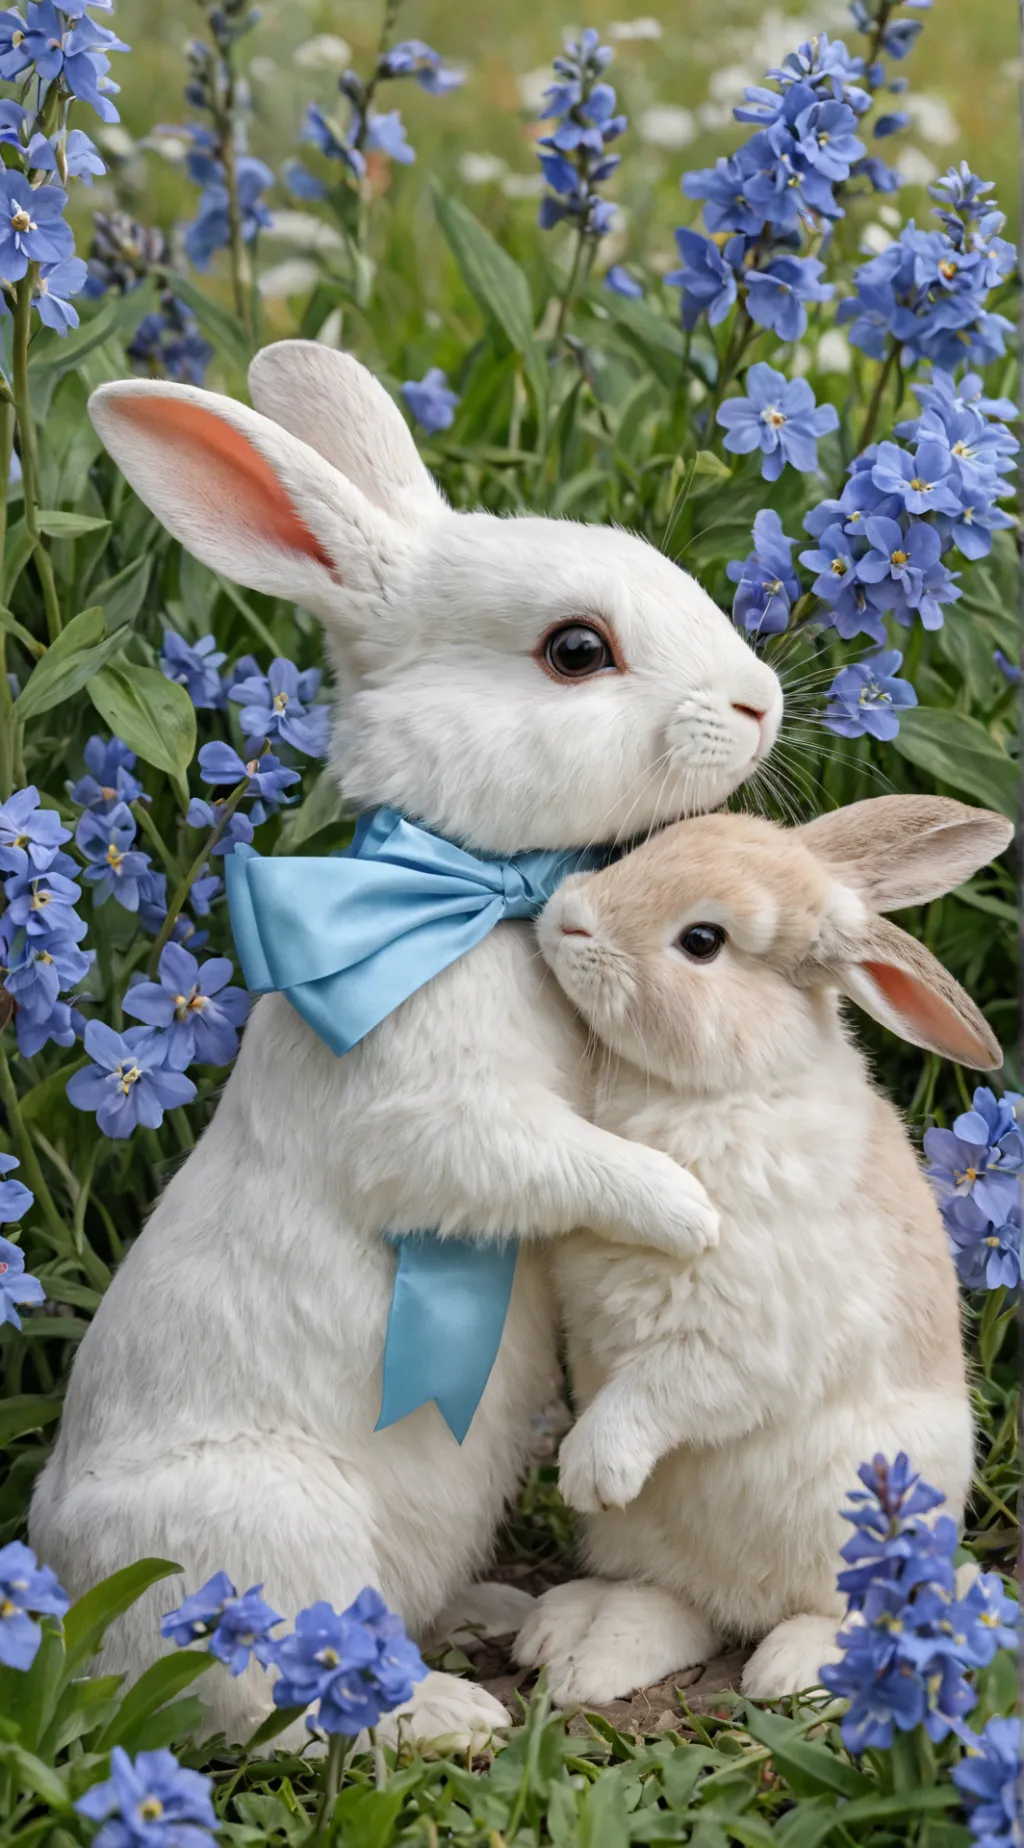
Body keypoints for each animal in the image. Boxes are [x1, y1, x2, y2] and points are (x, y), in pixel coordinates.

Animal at [29, 341, 783, 1749]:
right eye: (576, 650)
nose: (757, 705)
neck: (477, 897)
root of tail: (68, 1609)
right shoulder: (439, 1128)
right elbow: (559, 1164)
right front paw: (689, 1210)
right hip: (273, 1548)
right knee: (286, 1697)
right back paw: (447, 1711)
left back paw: (488, 1614)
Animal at [514, 795, 1012, 1707]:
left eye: (703, 940)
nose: (567, 917)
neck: (721, 1086)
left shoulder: (742, 1333)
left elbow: (662, 1391)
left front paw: (588, 1472)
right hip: (648, 1549)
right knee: (669, 1602)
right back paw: (575, 1650)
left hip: (855, 1527)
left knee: (840, 1608)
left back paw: (796, 1670)